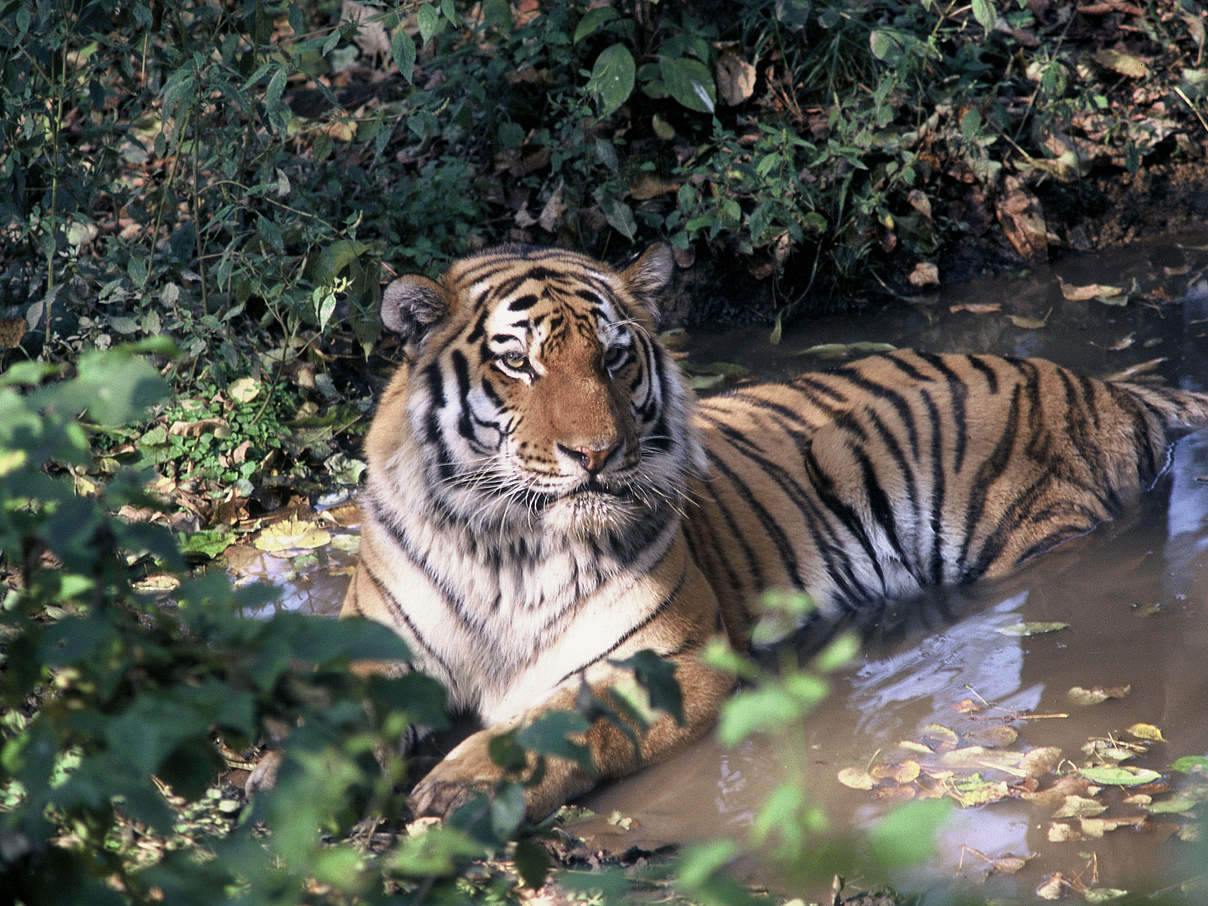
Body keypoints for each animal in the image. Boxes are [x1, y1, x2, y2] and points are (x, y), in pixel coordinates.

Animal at [335, 245, 1208, 826]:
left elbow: (568, 719)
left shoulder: (670, 664)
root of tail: (1107, 386)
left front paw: (460, 787)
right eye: (517, 364)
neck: (507, 548)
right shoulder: (370, 656)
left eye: (614, 358)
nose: (597, 454)